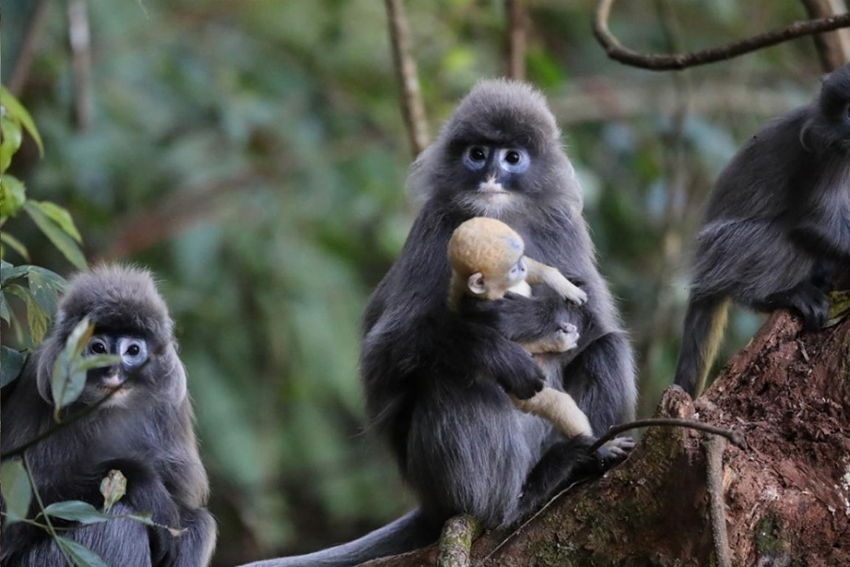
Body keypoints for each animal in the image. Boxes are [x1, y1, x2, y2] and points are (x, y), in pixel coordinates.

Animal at [0, 268, 217, 567]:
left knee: (198, 523)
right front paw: (145, 485)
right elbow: (14, 516)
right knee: (118, 518)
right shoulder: (35, 384)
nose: (113, 371)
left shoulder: (171, 407)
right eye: (98, 348)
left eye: (133, 350)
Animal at [448, 217, 592, 440]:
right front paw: (556, 341)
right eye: (513, 269)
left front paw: (562, 283)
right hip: (525, 393)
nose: (522, 266)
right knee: (557, 404)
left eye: (520, 260)